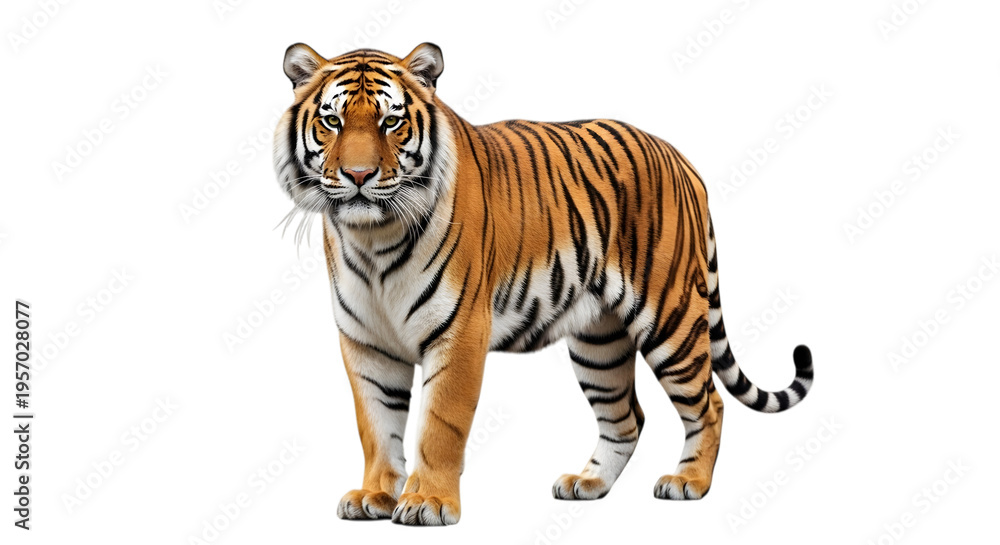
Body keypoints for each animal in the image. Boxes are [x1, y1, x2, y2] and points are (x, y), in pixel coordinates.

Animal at [272, 42, 814, 526]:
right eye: (333, 121)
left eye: (390, 122)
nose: (359, 174)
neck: (374, 238)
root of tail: (682, 160)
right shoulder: (366, 343)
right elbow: (377, 427)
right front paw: (375, 496)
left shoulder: (459, 333)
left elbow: (440, 426)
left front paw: (428, 503)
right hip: (600, 342)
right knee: (626, 417)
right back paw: (588, 483)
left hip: (672, 317)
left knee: (710, 404)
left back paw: (688, 482)